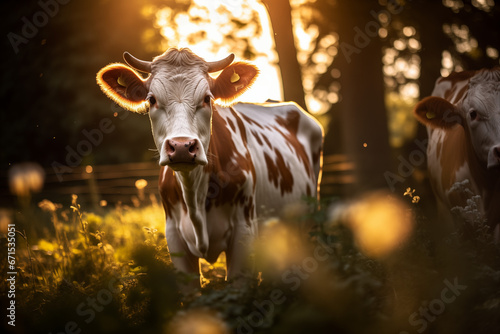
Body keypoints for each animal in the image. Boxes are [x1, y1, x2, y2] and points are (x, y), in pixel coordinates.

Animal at [97, 47, 324, 282]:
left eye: (207, 98)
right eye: (151, 100)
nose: (181, 146)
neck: (195, 196)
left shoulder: (244, 232)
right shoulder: (174, 238)